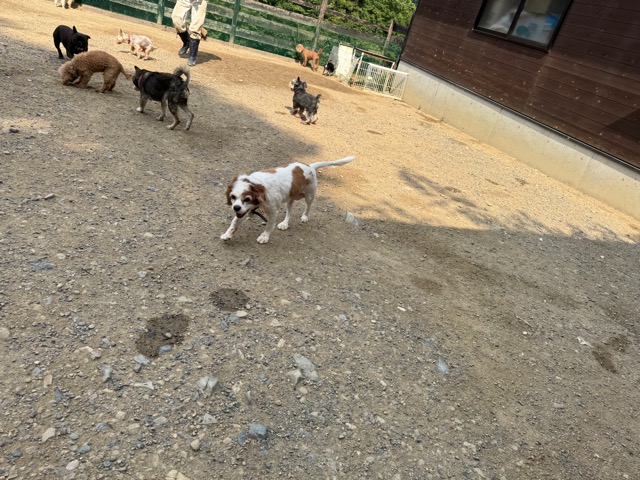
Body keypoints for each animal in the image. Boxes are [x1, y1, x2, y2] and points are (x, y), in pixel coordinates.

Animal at [221, 156, 355, 244]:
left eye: (247, 198)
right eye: (233, 197)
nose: (235, 207)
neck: (258, 185)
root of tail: (310, 166)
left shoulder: (273, 211)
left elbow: (269, 226)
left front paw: (264, 237)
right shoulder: (243, 210)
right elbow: (234, 223)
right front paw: (228, 234)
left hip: (309, 196)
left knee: (308, 206)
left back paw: (305, 216)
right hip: (290, 198)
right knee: (289, 212)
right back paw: (285, 223)